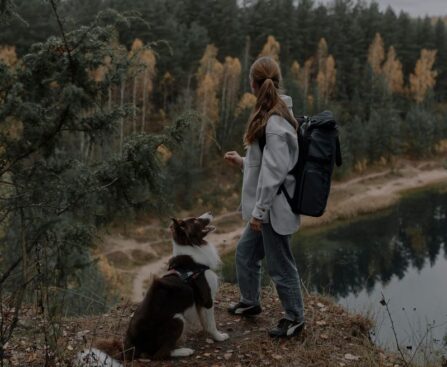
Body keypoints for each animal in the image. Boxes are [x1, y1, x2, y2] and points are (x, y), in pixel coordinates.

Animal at [75, 213, 229, 366]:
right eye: (195, 220)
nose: (210, 213)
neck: (193, 257)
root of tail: (130, 348)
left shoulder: (199, 303)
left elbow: (205, 322)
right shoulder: (207, 299)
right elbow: (211, 323)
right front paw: (219, 337)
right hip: (177, 319)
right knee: (159, 354)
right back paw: (184, 351)